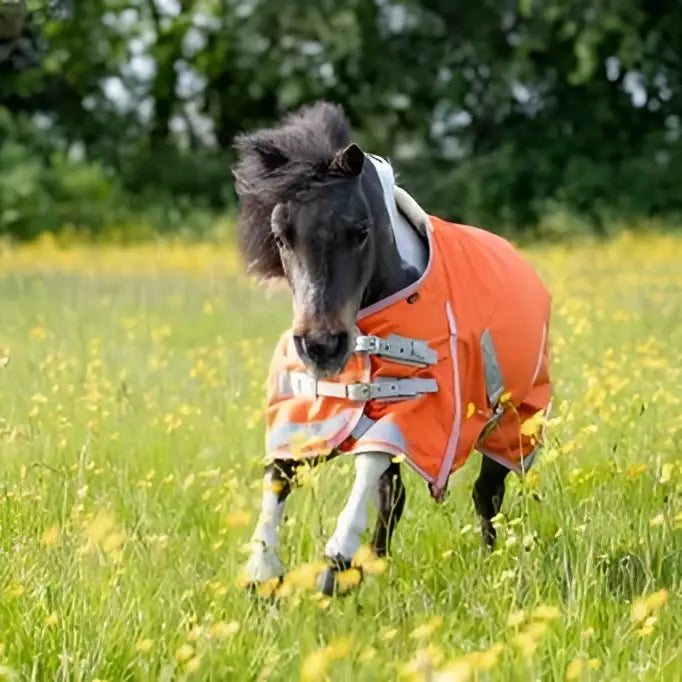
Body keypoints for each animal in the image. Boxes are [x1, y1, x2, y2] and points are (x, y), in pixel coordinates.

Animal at [233, 102, 552, 596]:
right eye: (281, 236)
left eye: (360, 231)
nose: (322, 346)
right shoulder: (310, 405)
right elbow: (281, 471)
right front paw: (263, 572)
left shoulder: (418, 407)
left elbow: (372, 461)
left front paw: (335, 563)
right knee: (395, 497)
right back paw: (374, 565)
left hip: (512, 423)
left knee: (487, 493)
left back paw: (487, 562)